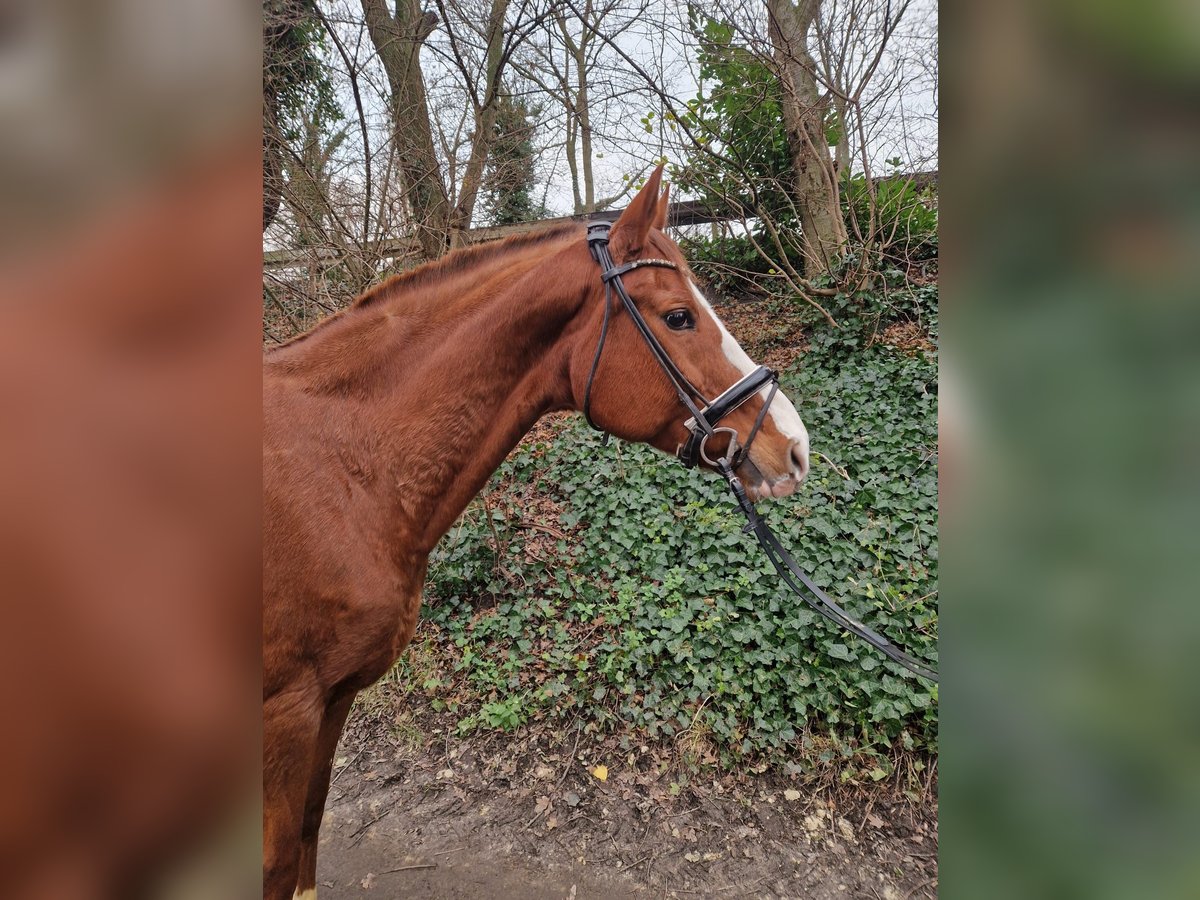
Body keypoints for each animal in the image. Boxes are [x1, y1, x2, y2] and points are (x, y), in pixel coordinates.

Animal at [260, 170, 806, 900]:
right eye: (679, 317)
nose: (796, 447)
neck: (342, 465)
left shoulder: (335, 698)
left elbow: (311, 831)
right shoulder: (286, 713)